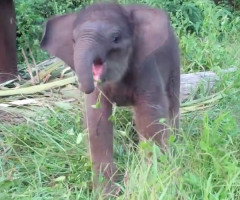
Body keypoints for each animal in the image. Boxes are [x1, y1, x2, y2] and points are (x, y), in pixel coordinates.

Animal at [40, 1, 180, 195]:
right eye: (73, 41)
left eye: (115, 38)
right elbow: (97, 125)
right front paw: (107, 194)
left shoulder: (146, 69)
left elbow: (150, 120)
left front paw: (153, 184)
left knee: (172, 101)